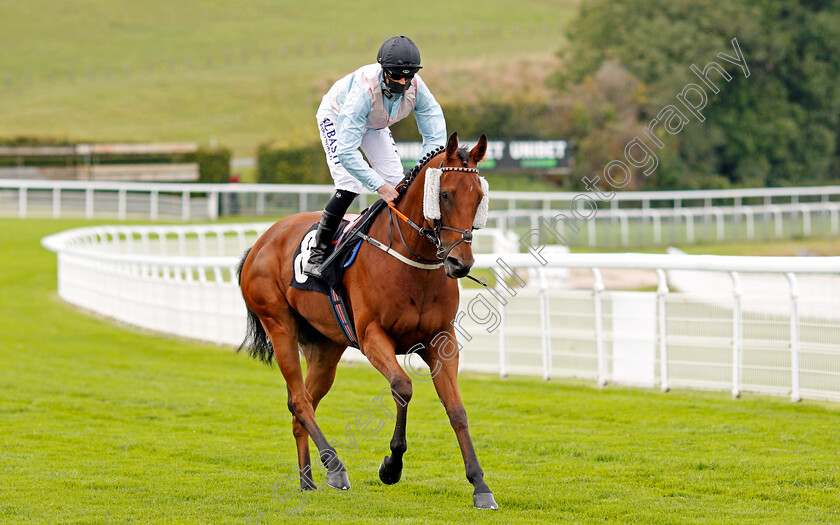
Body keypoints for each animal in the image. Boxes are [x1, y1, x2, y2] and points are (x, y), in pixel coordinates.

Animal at [236, 131, 498, 508]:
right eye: (445, 194)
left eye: (478, 196)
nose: (460, 263)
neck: (412, 261)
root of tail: (261, 241)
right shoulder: (373, 335)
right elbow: (402, 387)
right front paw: (391, 466)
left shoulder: (441, 340)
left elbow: (457, 410)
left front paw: (480, 485)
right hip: (279, 323)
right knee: (299, 400)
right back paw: (334, 467)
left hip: (325, 347)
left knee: (302, 406)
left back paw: (307, 481)